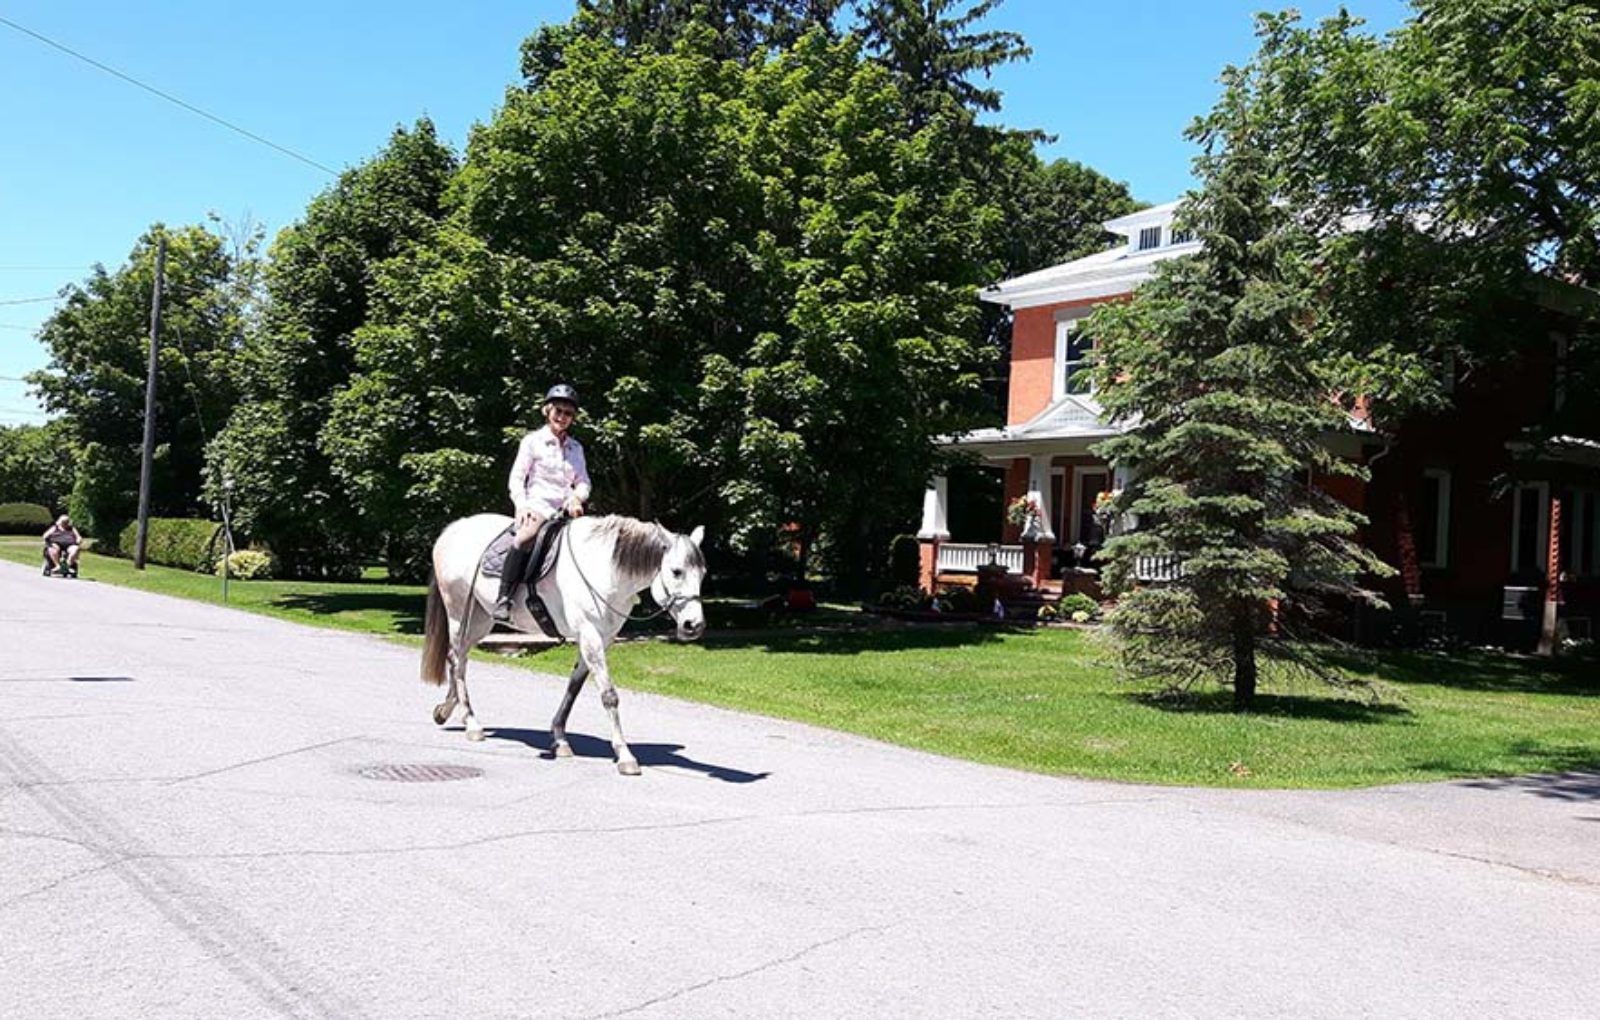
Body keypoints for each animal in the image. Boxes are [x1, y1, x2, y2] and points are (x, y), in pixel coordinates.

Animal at [421, 513, 706, 775]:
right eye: (677, 571)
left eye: (702, 574)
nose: (694, 625)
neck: (604, 570)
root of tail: (452, 530)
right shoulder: (590, 635)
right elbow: (609, 695)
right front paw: (625, 755)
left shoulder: (600, 639)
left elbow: (573, 688)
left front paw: (559, 739)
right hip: (459, 614)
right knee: (458, 661)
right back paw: (471, 723)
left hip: (481, 620)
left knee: (457, 659)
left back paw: (445, 710)